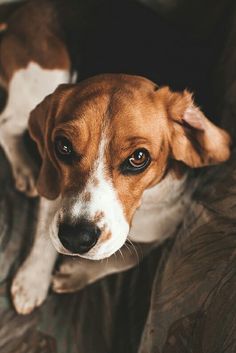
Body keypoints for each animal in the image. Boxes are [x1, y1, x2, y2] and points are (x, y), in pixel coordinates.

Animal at [0, 0, 230, 314]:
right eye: (63, 146)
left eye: (138, 157)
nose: (76, 239)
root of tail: (22, 11)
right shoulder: (55, 184)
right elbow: (45, 228)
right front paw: (32, 280)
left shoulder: (166, 227)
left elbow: (130, 256)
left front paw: (76, 274)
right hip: (46, 76)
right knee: (6, 125)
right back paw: (24, 168)